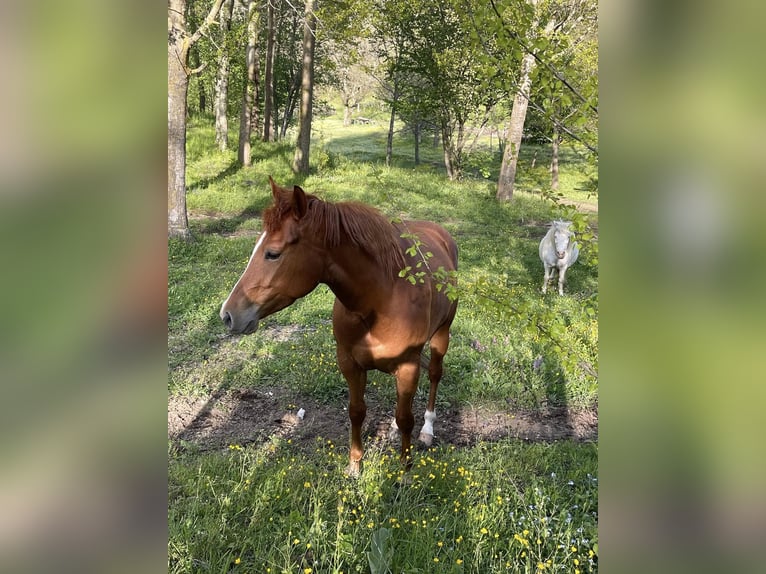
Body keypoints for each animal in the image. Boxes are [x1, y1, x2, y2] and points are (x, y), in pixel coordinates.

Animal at [219, 178, 460, 474]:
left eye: (273, 254)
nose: (228, 314)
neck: (382, 299)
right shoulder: (349, 362)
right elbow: (357, 411)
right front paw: (354, 465)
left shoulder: (408, 365)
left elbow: (406, 418)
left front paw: (405, 469)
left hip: (442, 335)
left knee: (435, 375)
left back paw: (427, 429)